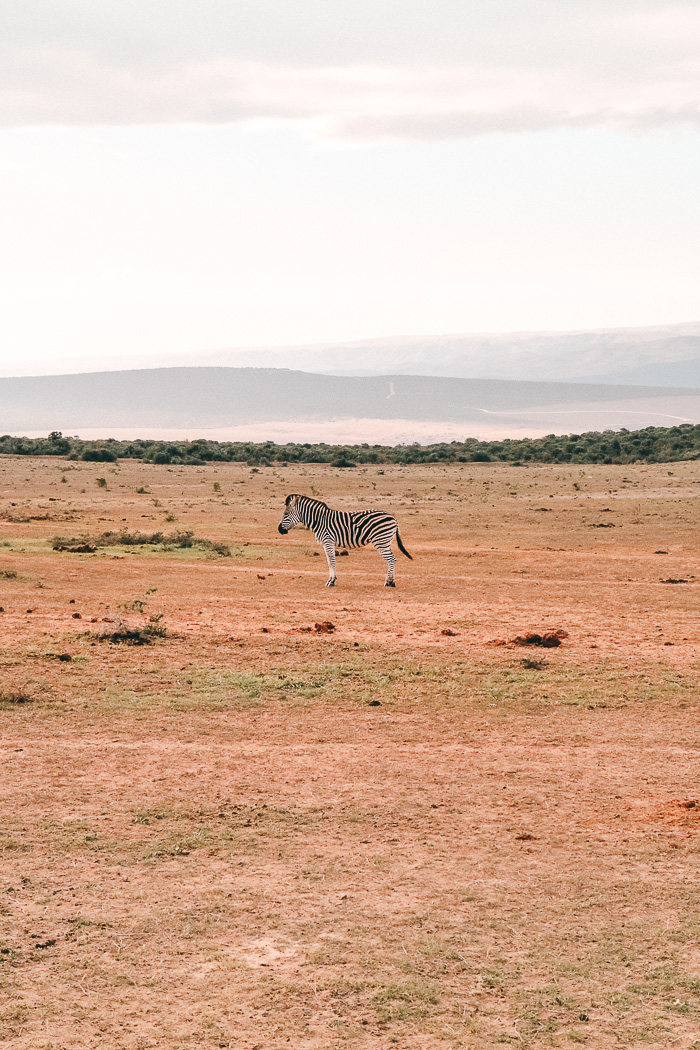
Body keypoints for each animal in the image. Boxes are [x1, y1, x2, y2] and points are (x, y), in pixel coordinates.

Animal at [277, 493, 413, 588]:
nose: (279, 530)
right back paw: (391, 582)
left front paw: (331, 581)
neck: (319, 521)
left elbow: (331, 561)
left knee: (391, 559)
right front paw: (332, 580)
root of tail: (393, 518)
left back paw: (388, 582)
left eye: (286, 514)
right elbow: (329, 561)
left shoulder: (328, 541)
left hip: (381, 542)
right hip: (385, 542)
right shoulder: (327, 543)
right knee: (392, 559)